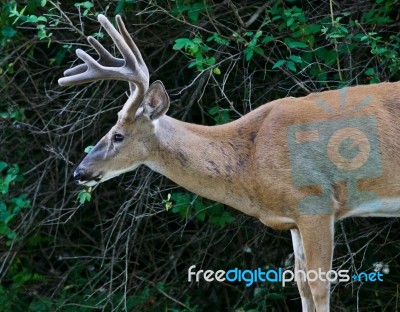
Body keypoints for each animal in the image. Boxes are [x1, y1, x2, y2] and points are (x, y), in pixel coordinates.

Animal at [58, 14, 400, 312]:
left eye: (118, 135)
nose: (79, 172)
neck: (250, 162)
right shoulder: (293, 218)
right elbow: (301, 285)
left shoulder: (316, 201)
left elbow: (318, 286)